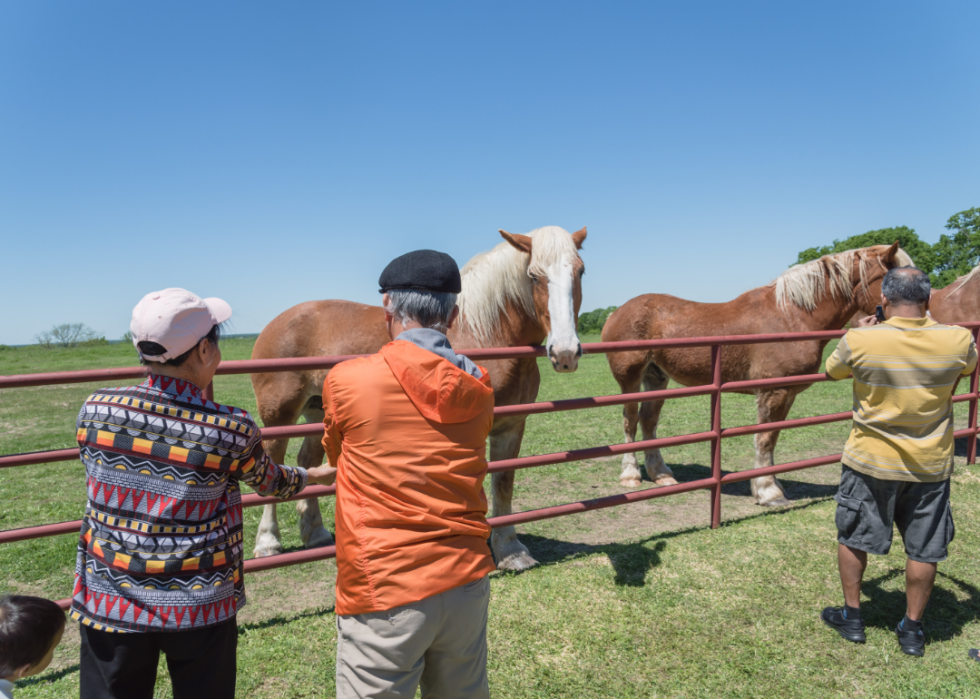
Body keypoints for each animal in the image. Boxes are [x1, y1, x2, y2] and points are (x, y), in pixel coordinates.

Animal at [251, 227, 580, 572]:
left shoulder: (511, 426)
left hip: (317, 414)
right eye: (534, 276)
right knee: (273, 465)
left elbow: (503, 483)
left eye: (580, 271)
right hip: (279, 416)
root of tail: (277, 322)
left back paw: (315, 533)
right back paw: (267, 542)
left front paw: (510, 551)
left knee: (307, 461)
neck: (485, 334)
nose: (565, 352)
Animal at [604, 243, 912, 506]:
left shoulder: (786, 394)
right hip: (630, 378)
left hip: (657, 377)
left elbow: (772, 437)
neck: (792, 316)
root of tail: (616, 312)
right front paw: (768, 492)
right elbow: (764, 439)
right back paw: (631, 475)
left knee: (648, 420)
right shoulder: (772, 392)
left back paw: (661, 474)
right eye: (892, 281)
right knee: (630, 421)